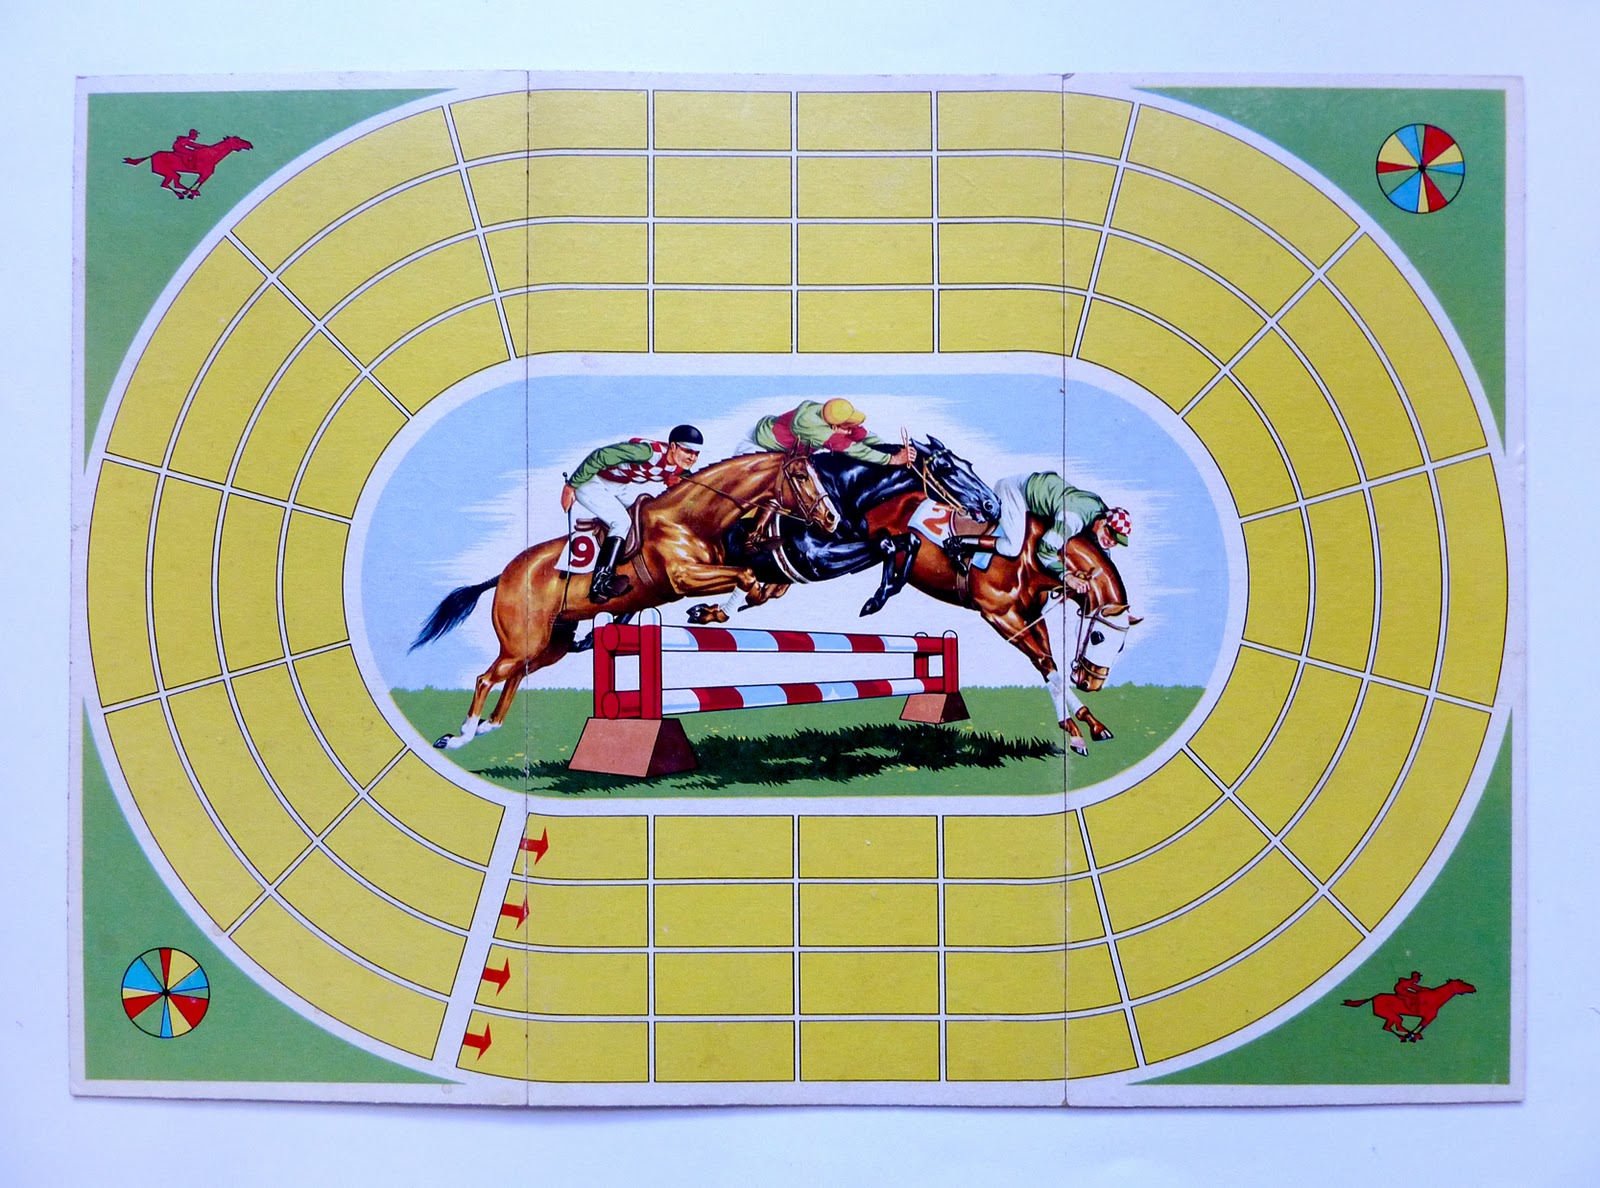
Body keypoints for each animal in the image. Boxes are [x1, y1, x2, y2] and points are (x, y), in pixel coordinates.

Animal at [123, 135, 253, 199]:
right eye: (237, 141)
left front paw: (192, 193)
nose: (250, 145)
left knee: (168, 184)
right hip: (168, 171)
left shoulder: (206, 174)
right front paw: (191, 193)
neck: (212, 155)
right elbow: (197, 183)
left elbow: (198, 183)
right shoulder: (204, 173)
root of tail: (152, 155)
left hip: (169, 173)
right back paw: (181, 194)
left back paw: (182, 193)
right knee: (171, 184)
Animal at [411, 451, 839, 750]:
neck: (691, 519)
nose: (832, 520)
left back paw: (489, 726)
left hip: (551, 643)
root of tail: (504, 575)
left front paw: (713, 611)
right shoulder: (684, 578)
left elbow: (761, 586)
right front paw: (708, 611)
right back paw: (460, 736)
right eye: (801, 476)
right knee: (488, 677)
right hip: (522, 640)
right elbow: (747, 577)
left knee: (515, 676)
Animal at [686, 437, 1000, 622]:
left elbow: (907, 542)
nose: (992, 505)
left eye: (968, 463)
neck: (842, 493)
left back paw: (712, 610)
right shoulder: (816, 558)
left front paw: (880, 595)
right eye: (946, 468)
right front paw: (875, 601)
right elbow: (888, 545)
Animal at [907, 520, 1138, 755]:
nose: (1092, 684)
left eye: (1121, 647)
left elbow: (1047, 665)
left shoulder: (1033, 615)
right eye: (1097, 637)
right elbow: (1045, 664)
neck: (1027, 559)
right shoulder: (1003, 618)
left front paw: (1078, 729)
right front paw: (1085, 728)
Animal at [1342, 979, 1476, 1042]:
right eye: (1462, 984)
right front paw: (1414, 1035)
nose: (1473, 988)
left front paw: (1415, 1035)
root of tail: (1373, 998)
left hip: (1390, 1016)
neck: (1436, 998)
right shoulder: (1428, 1017)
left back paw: (1405, 1036)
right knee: (1396, 1026)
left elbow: (1420, 1027)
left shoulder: (1428, 1018)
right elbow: (1420, 1027)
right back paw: (1406, 1036)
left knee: (1388, 1027)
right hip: (1392, 1015)